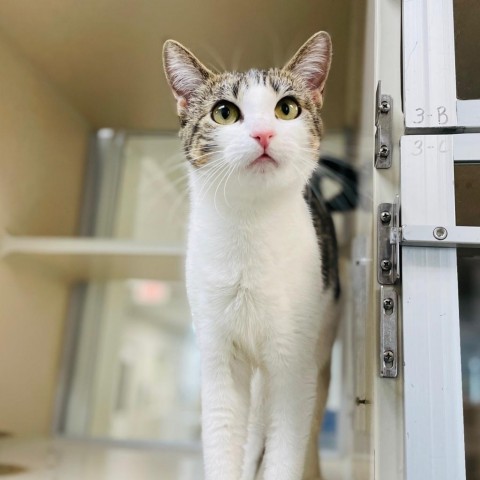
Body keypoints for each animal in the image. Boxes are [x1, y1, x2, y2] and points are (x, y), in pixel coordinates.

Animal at [163, 32, 340, 480]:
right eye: (224, 112)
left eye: (287, 108)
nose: (263, 134)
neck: (248, 227)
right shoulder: (218, 355)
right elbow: (224, 438)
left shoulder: (293, 363)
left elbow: (286, 447)